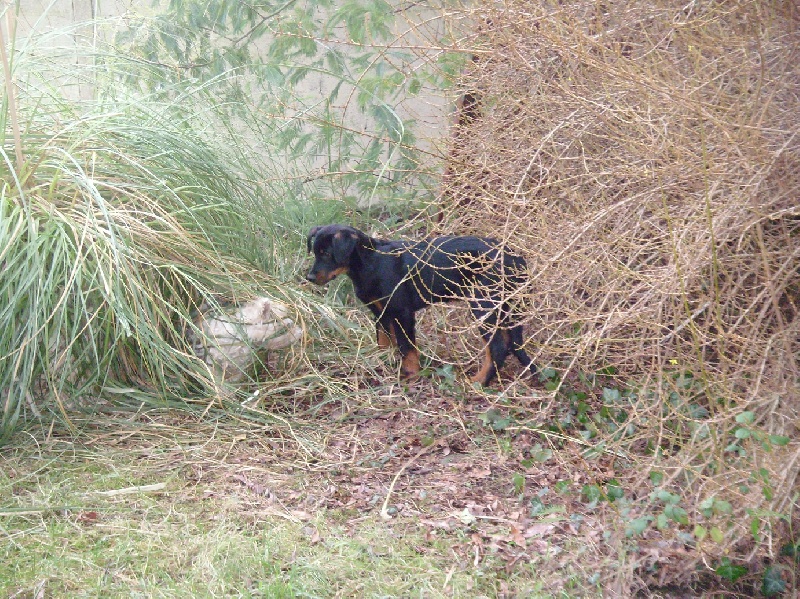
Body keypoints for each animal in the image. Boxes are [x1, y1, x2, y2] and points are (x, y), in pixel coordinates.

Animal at [308, 224, 536, 384]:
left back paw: (479, 381)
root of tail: (516, 260)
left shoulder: (402, 313)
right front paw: (382, 361)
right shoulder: (381, 312)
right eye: (315, 252)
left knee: (497, 347)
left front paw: (410, 375)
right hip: (500, 306)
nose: (309, 277)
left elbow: (407, 348)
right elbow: (384, 340)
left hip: (483, 305)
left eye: (327, 254)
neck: (371, 262)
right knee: (507, 342)